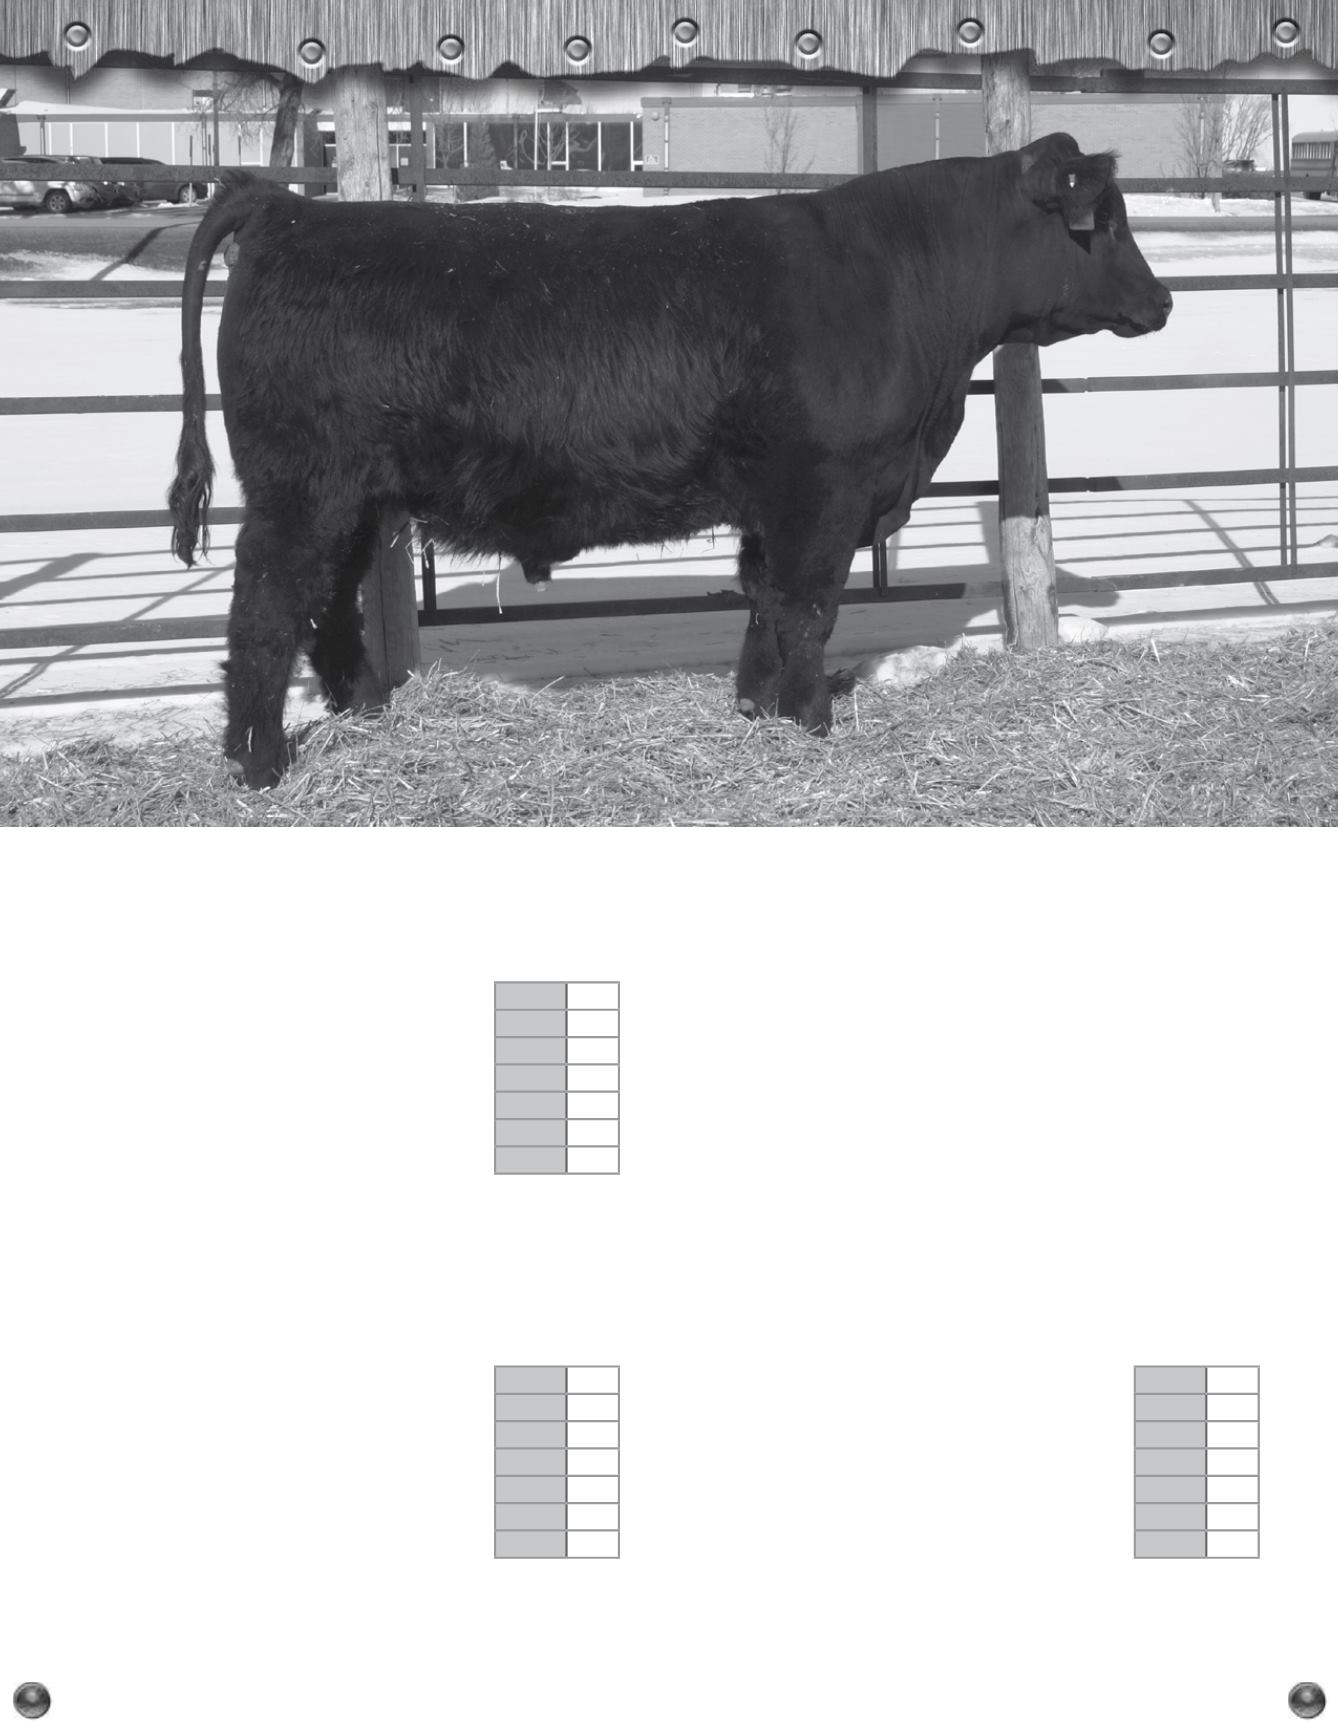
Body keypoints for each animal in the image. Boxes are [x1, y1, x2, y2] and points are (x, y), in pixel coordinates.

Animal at [168, 137, 1171, 788]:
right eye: (1105, 221)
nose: (1162, 300)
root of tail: (289, 208)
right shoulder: (826, 491)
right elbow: (810, 607)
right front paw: (812, 723)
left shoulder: (776, 500)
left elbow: (766, 603)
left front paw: (759, 709)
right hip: (299, 493)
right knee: (265, 613)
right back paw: (260, 765)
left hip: (349, 499)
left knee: (328, 610)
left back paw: (371, 716)